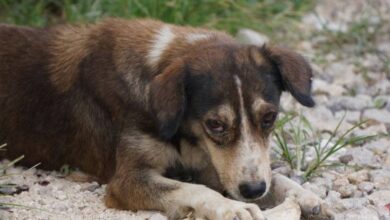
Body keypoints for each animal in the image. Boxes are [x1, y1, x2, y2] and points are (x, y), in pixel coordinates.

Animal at [0, 19, 316, 220]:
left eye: (269, 118)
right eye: (215, 124)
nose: (253, 191)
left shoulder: (216, 164)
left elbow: (276, 178)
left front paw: (307, 197)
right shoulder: (127, 181)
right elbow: (192, 189)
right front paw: (229, 208)